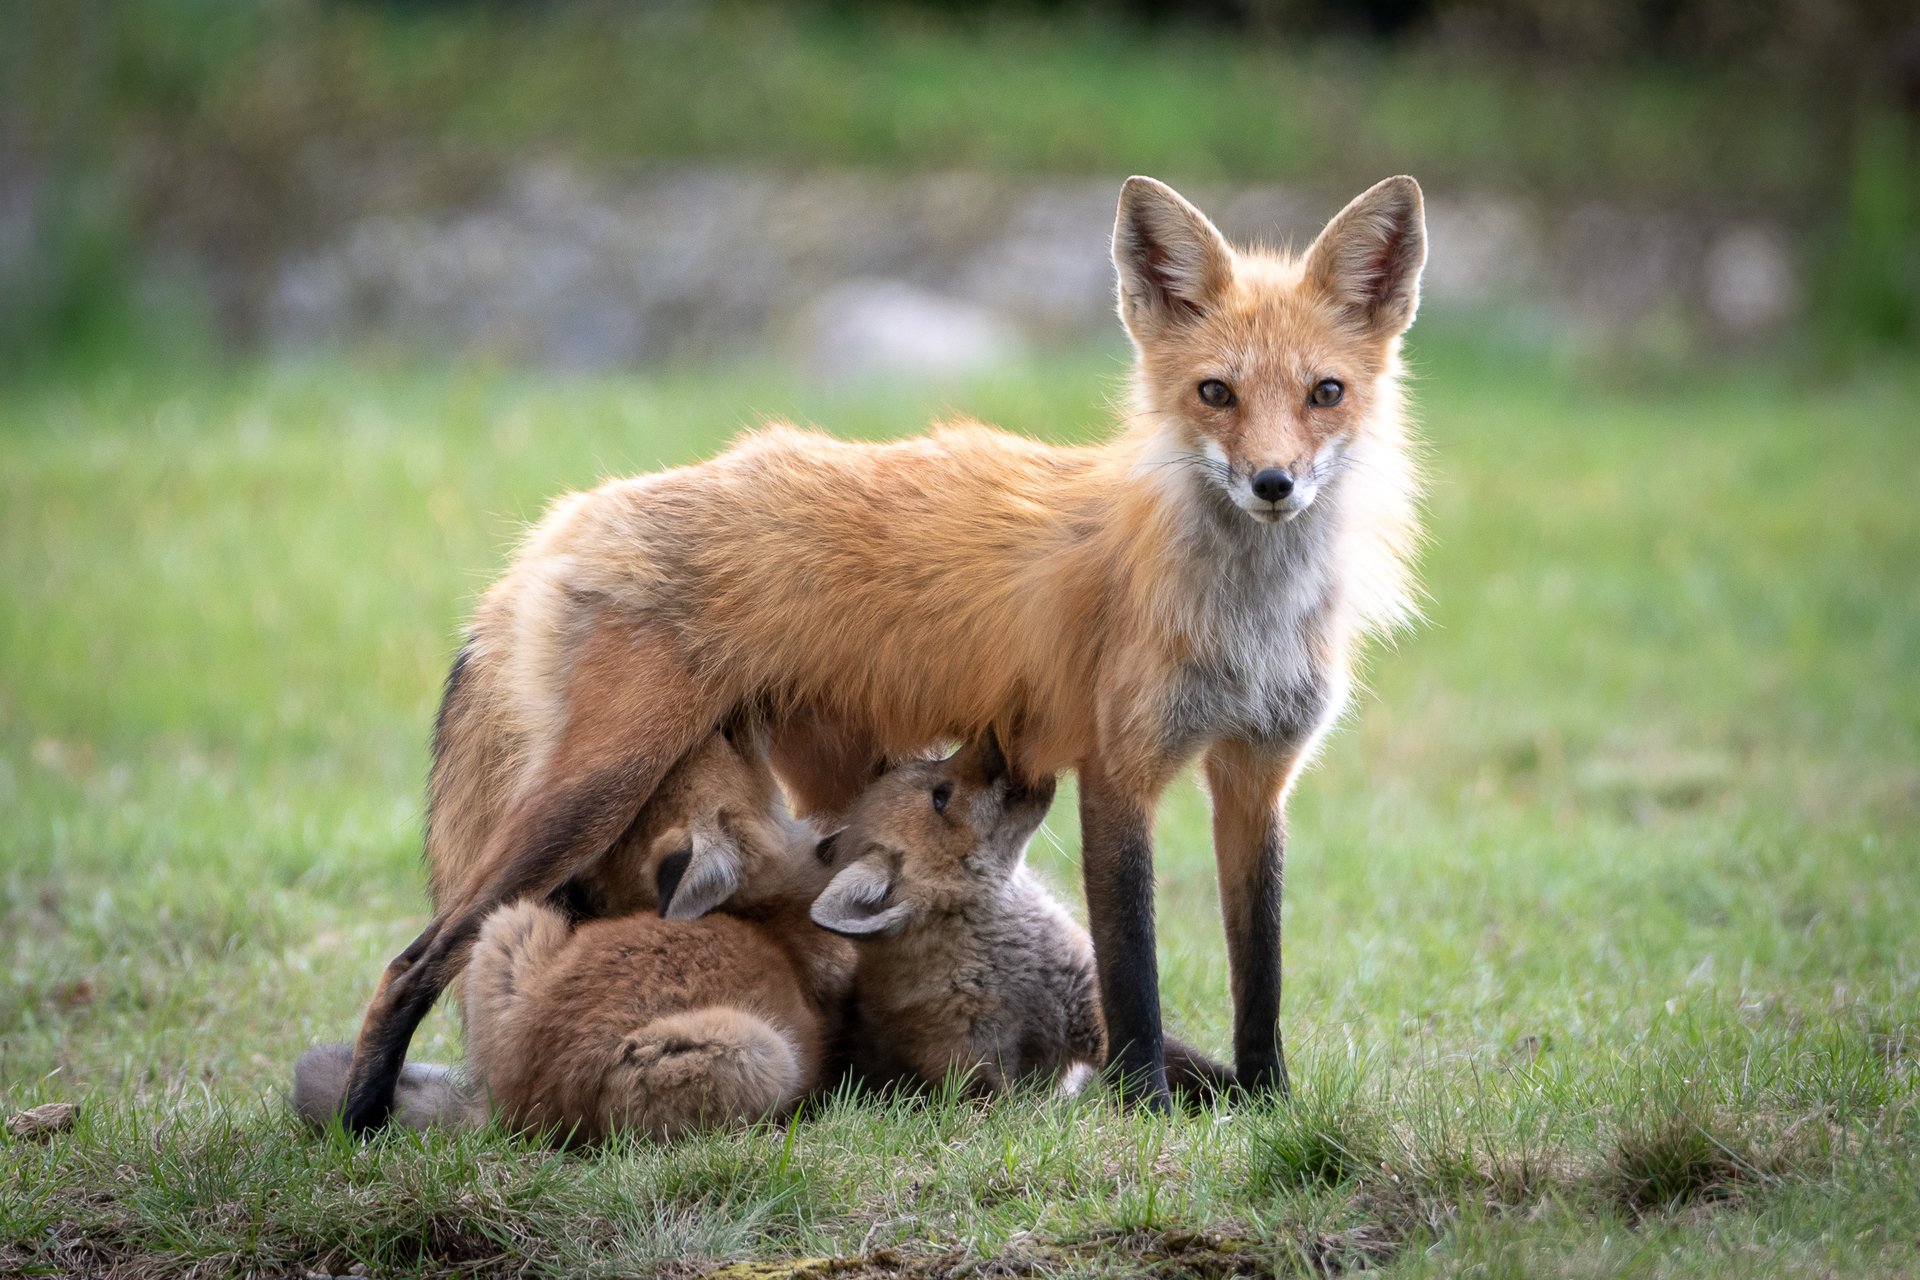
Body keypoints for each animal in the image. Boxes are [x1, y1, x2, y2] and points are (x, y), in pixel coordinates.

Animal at [341, 172, 1428, 1128]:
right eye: (1215, 393)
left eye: (1325, 391)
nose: (1274, 483)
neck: (1247, 615)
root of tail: (570, 515)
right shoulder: (1119, 772)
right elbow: (1135, 978)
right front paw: (1150, 1115)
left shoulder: (1258, 775)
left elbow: (1262, 971)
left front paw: (1269, 1105)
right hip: (595, 789)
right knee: (412, 961)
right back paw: (359, 1122)